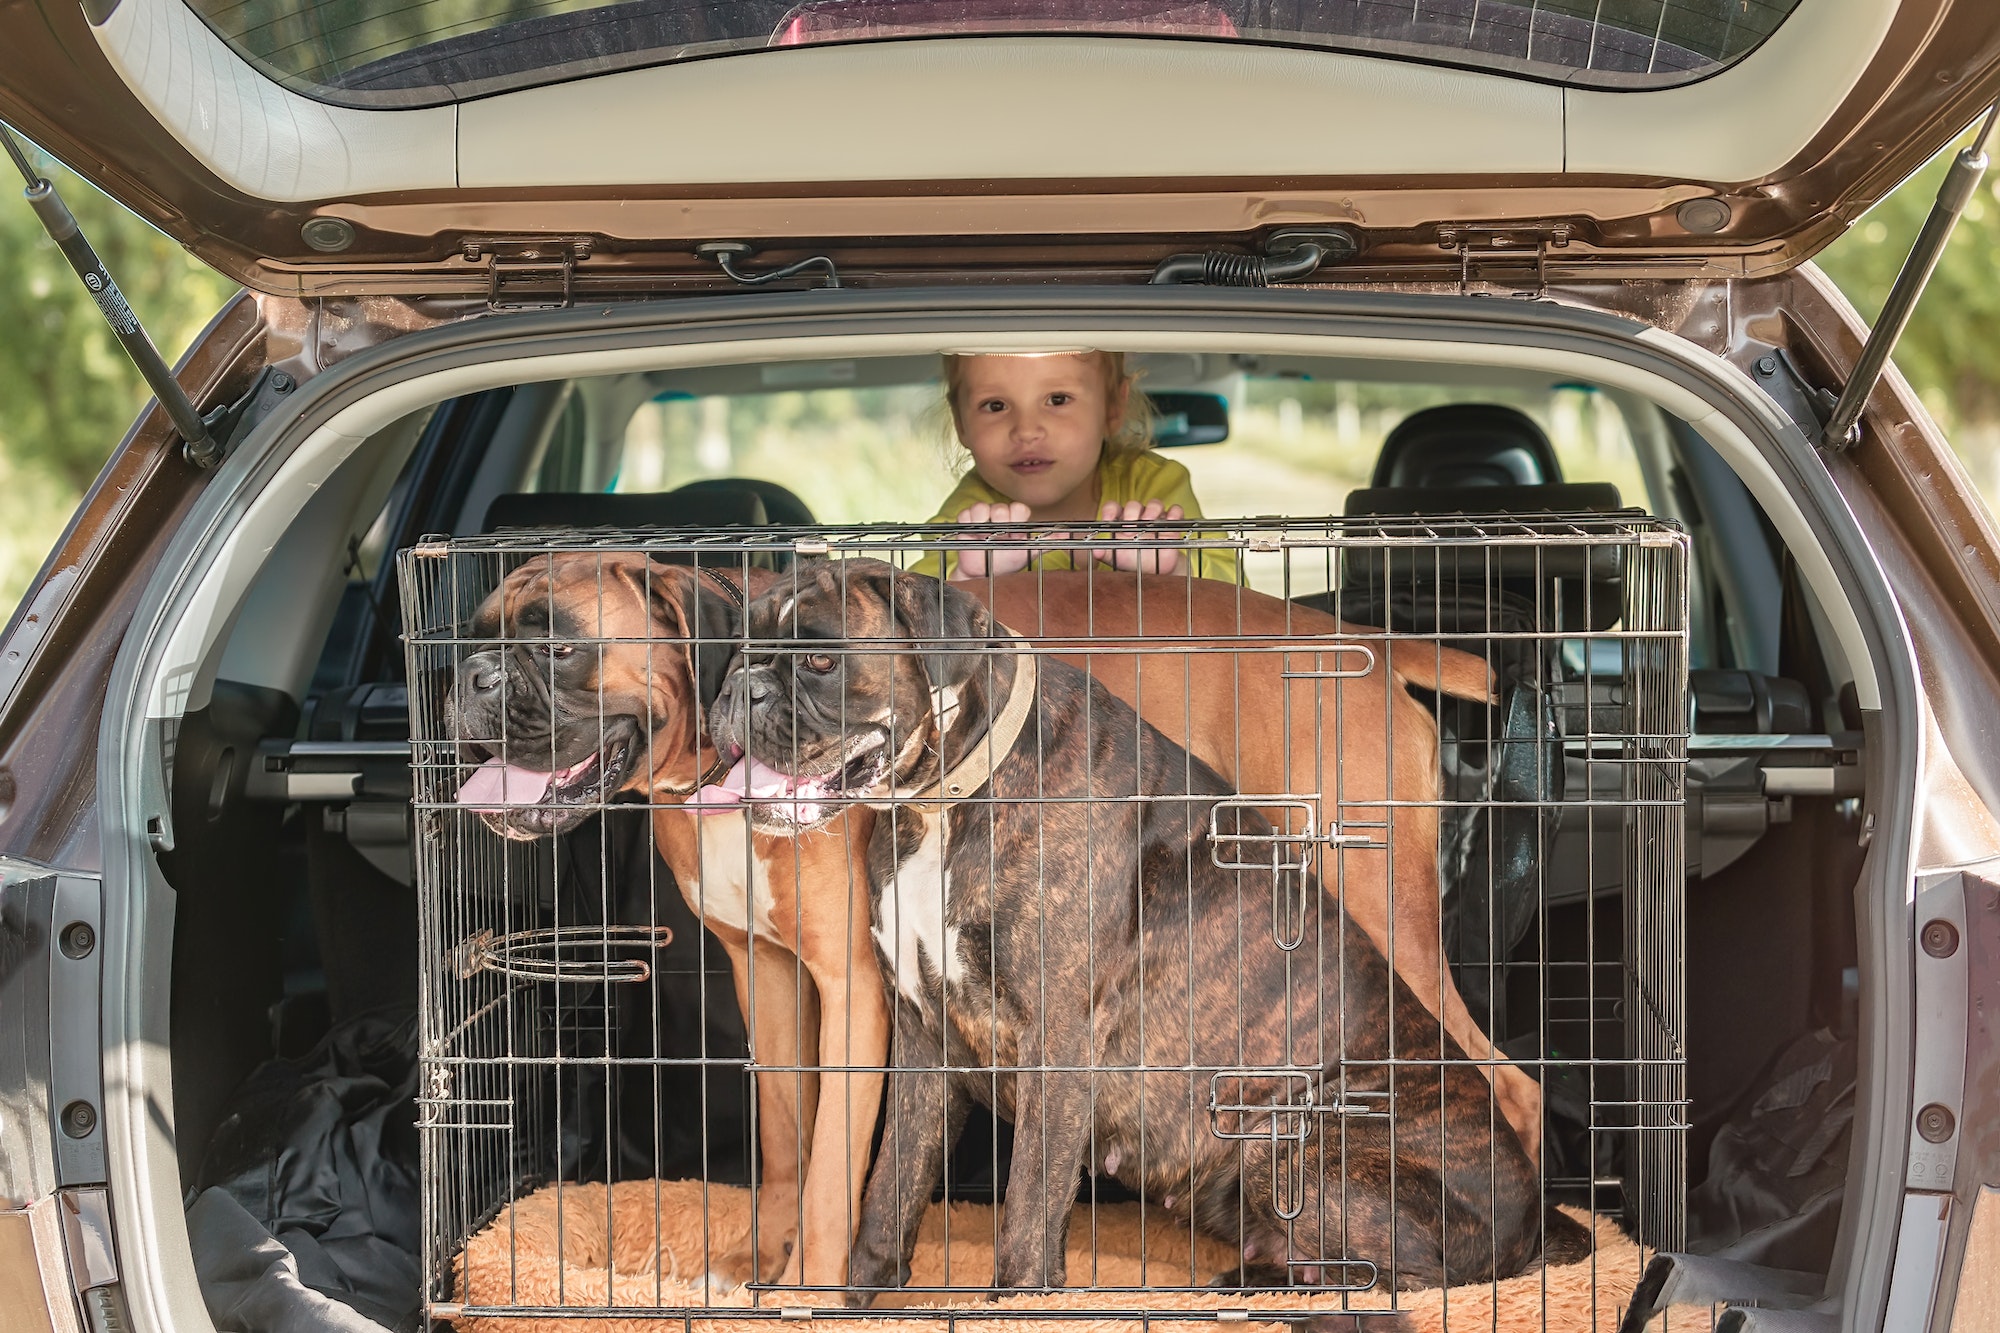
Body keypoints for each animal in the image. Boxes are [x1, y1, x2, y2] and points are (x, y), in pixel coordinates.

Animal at [458, 552, 896, 1288]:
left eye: (559, 648)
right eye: (474, 638)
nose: (470, 675)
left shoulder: (852, 988)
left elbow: (833, 1166)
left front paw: (806, 1289)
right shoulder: (766, 973)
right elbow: (788, 1133)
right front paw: (762, 1252)